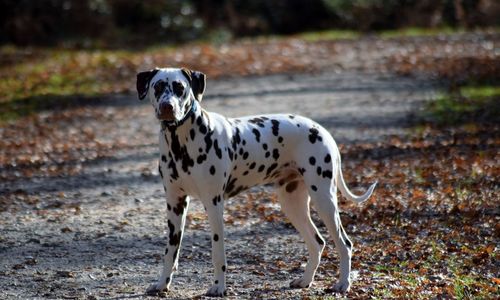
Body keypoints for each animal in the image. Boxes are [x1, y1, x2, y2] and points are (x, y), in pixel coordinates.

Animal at [137, 67, 376, 296]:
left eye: (180, 87)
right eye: (158, 86)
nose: (167, 106)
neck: (181, 142)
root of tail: (322, 130)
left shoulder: (214, 204)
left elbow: (218, 253)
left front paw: (219, 287)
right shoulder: (175, 204)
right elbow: (170, 251)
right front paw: (162, 284)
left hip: (324, 199)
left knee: (344, 243)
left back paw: (343, 284)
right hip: (293, 204)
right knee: (317, 242)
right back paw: (305, 280)